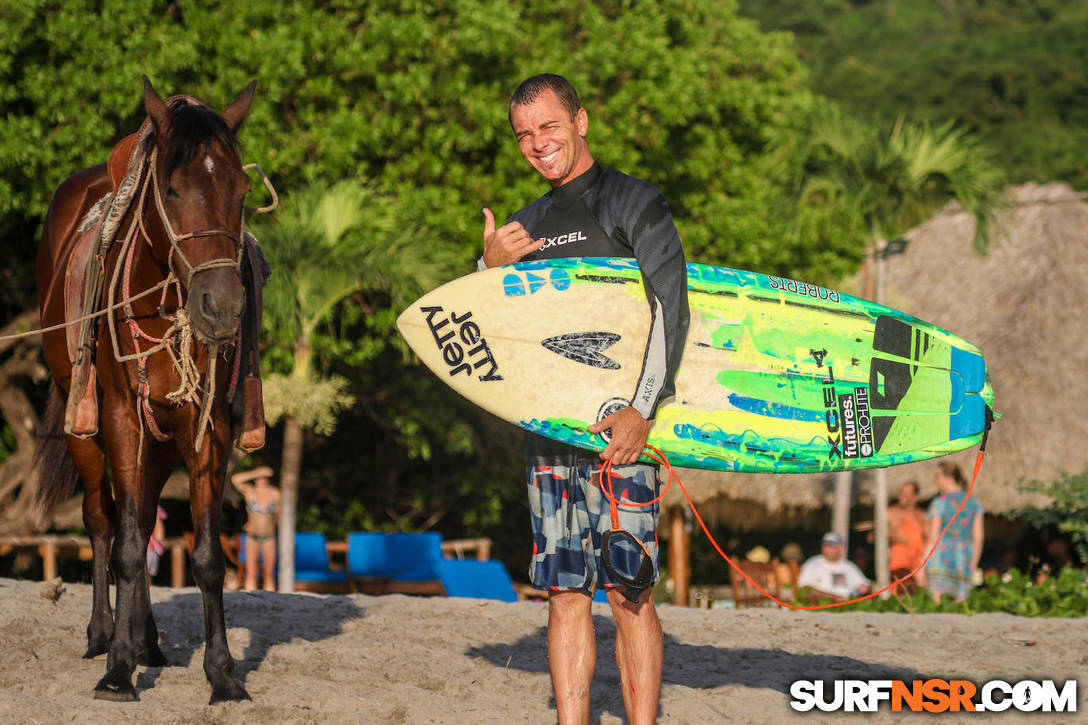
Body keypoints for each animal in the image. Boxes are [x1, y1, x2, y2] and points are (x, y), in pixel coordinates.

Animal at [35, 76, 256, 696]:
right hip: (86, 428)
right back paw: (106, 635)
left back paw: (146, 639)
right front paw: (116, 671)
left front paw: (222, 673)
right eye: (174, 189)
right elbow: (128, 546)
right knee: (103, 521)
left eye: (242, 190)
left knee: (149, 514)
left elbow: (205, 555)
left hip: (158, 438)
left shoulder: (207, 425)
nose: (222, 307)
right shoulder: (119, 419)